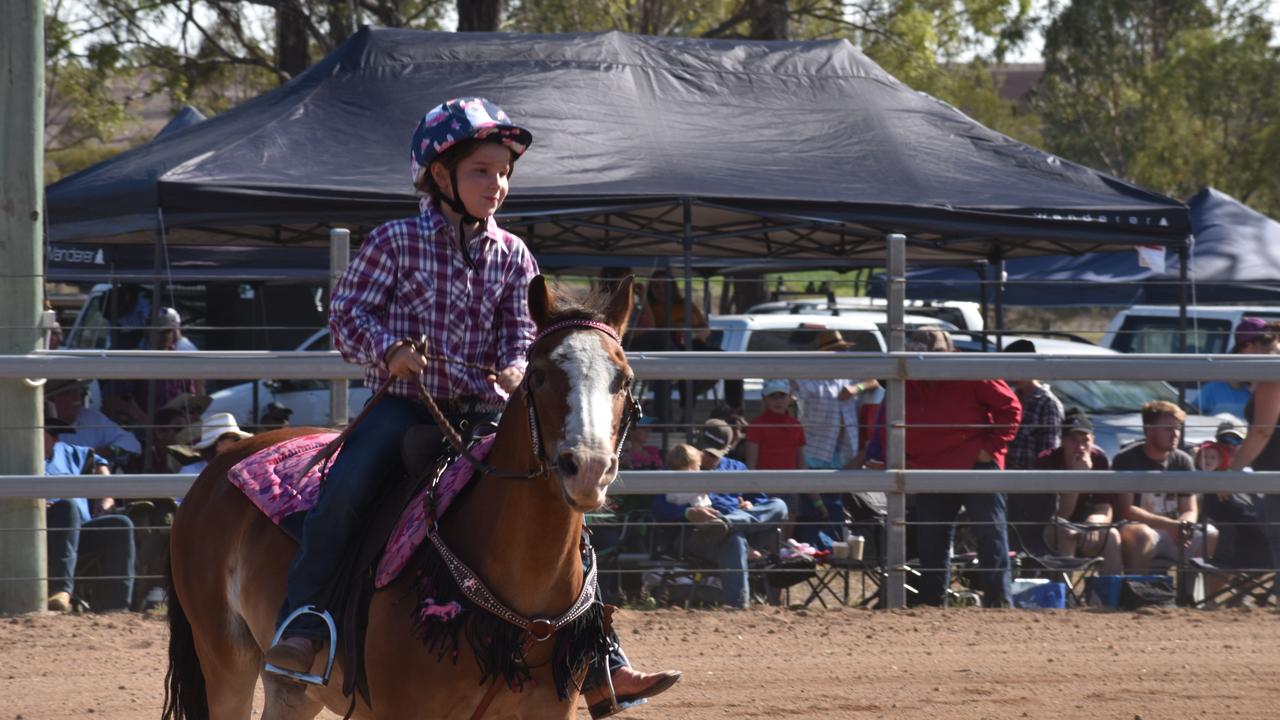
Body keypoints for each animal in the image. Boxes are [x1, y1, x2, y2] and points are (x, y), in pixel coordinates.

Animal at [162, 275, 637, 717]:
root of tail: (222, 463)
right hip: (225, 659)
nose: (588, 468)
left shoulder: (550, 709)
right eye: (539, 375)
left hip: (294, 690)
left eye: (624, 380)